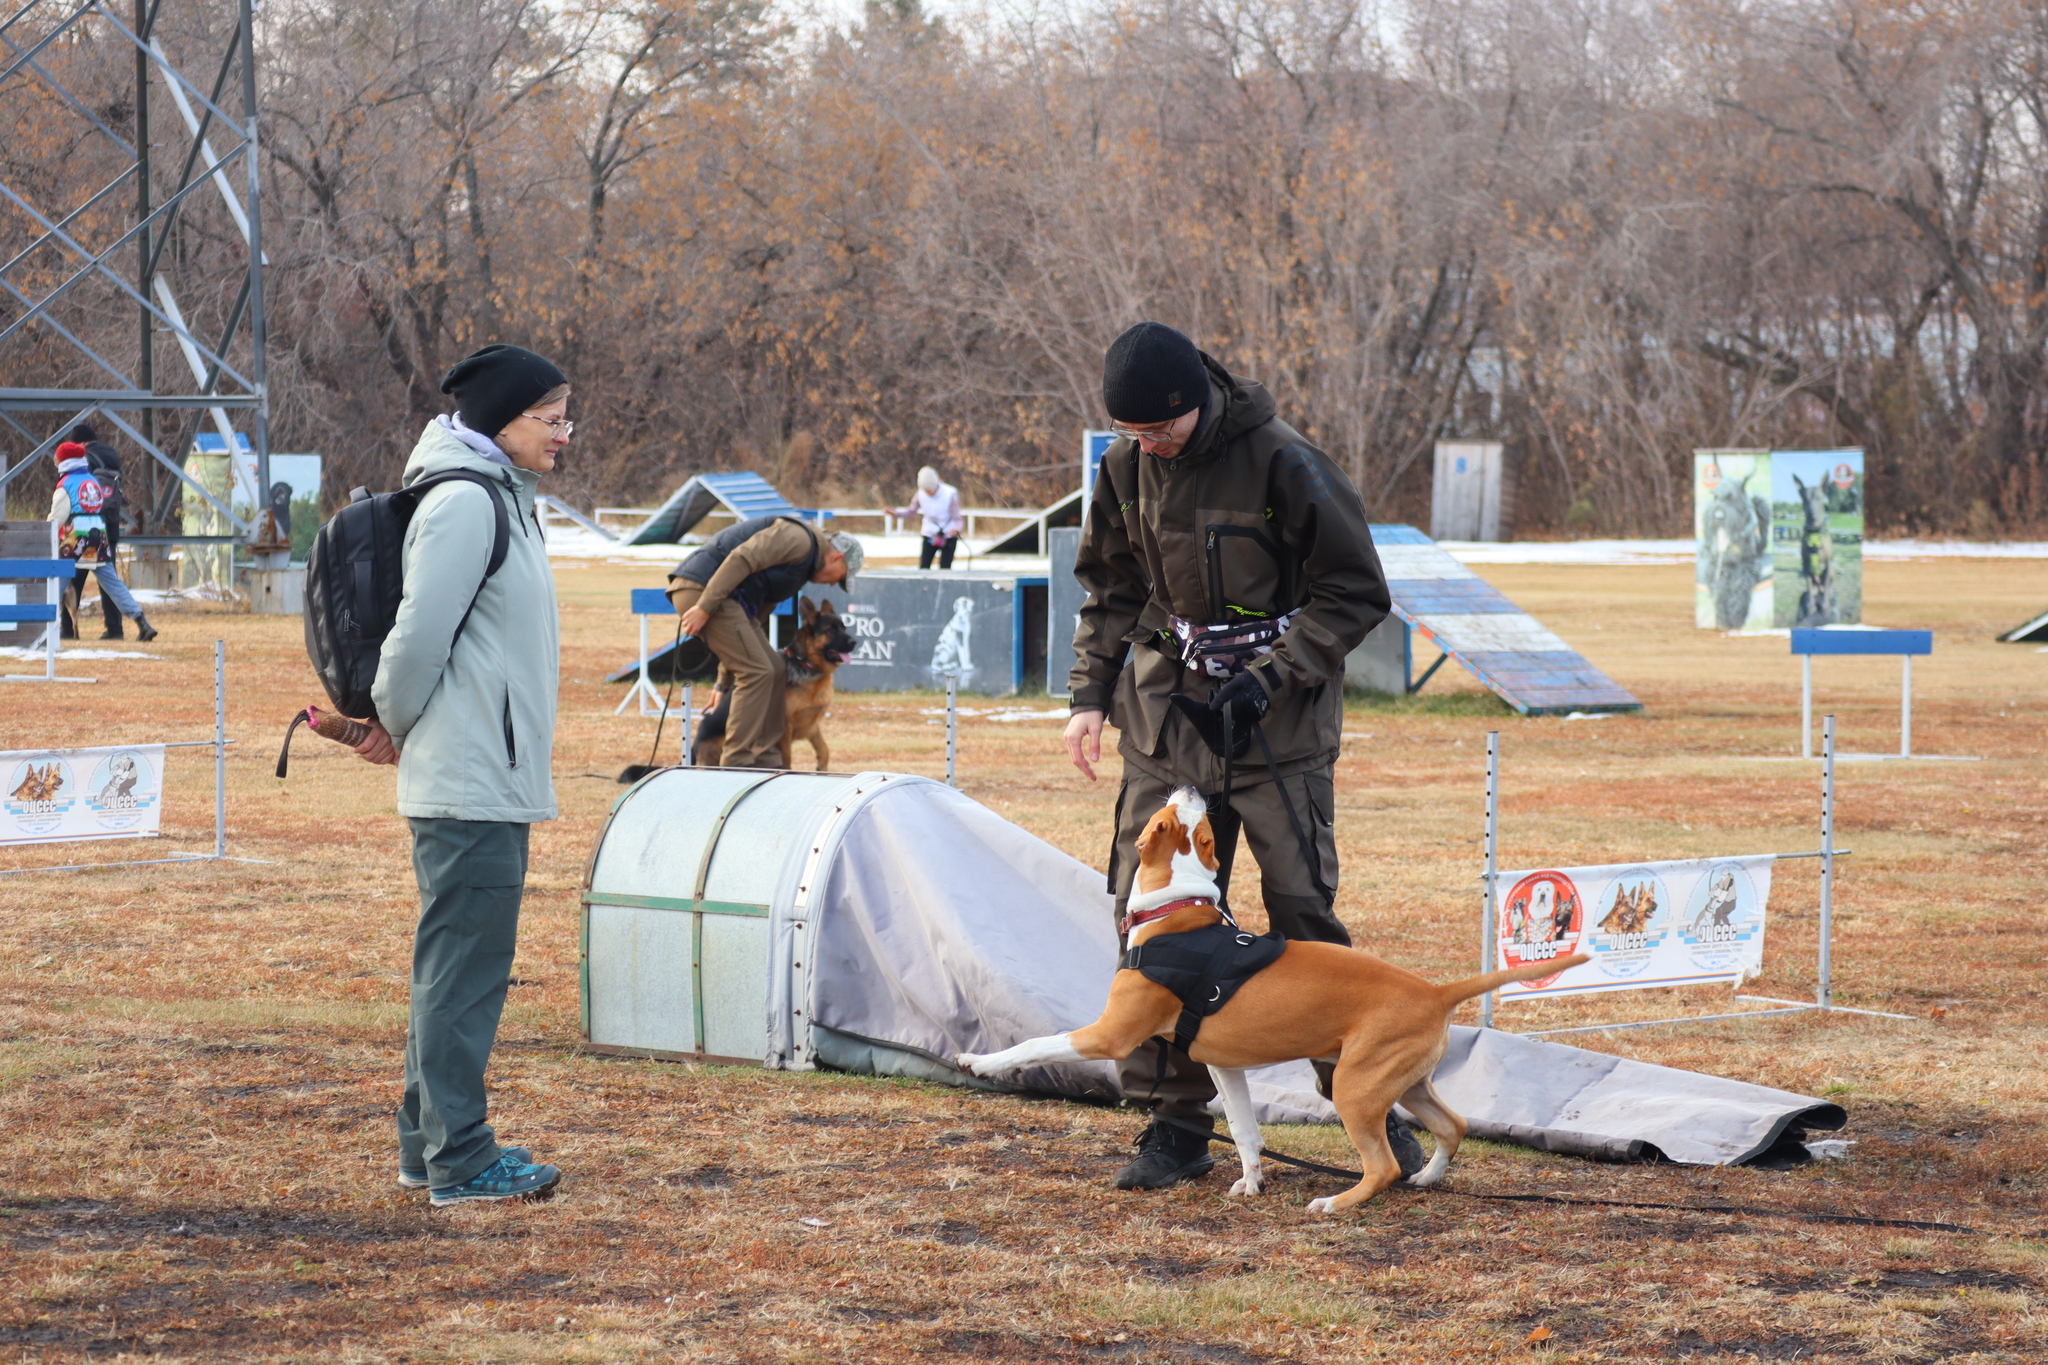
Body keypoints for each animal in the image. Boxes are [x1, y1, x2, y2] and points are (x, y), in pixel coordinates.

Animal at [954, 789, 1581, 1219]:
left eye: (1177, 819)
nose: (1194, 785)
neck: (1176, 913)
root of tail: (1434, 990)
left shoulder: (1108, 1033)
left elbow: (1035, 1043)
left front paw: (979, 1061)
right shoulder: (1223, 1065)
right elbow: (1244, 1128)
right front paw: (1252, 1182)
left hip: (1356, 1085)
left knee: (1381, 1164)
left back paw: (1338, 1202)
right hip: (1404, 1081)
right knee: (1453, 1125)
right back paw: (1426, 1178)